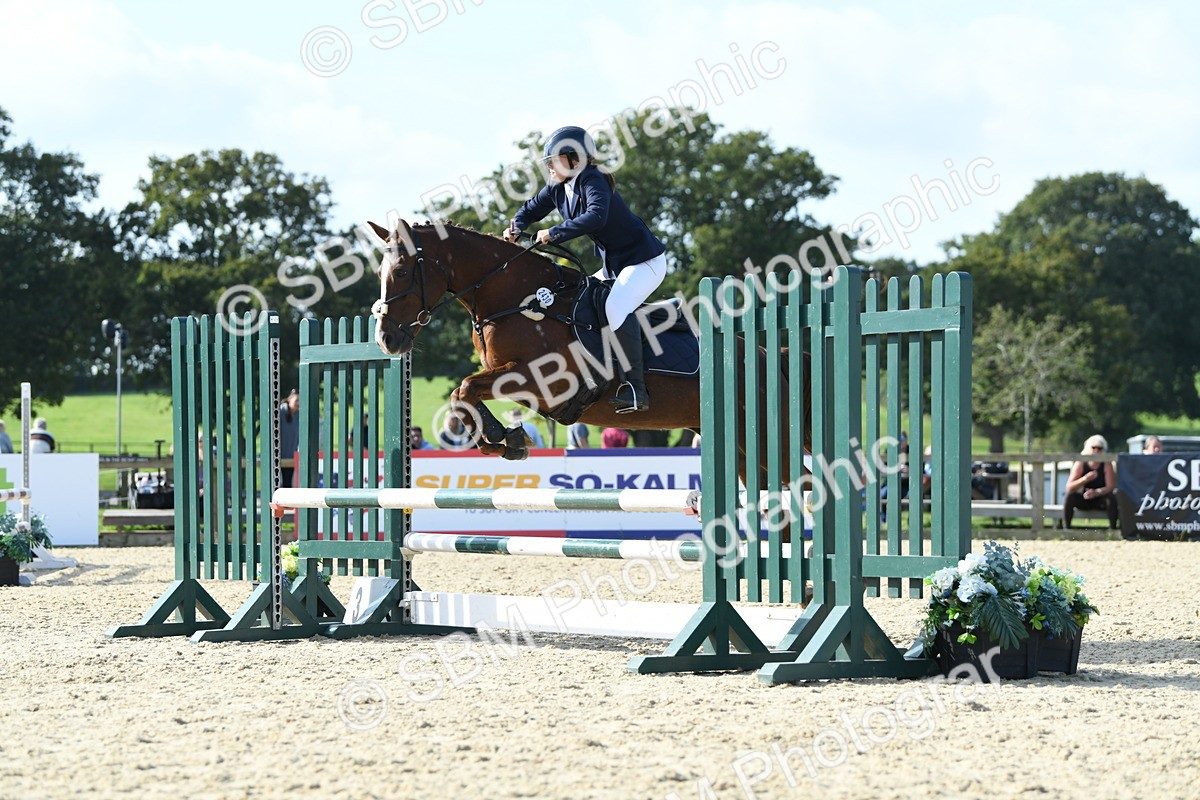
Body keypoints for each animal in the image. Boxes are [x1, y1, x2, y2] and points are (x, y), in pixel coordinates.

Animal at [367, 219, 810, 488]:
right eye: (379, 274)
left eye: (403, 271)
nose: (387, 339)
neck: (518, 299)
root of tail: (769, 355)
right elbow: (465, 393)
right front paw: (504, 440)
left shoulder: (544, 382)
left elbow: (464, 388)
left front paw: (503, 437)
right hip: (737, 445)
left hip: (764, 439)